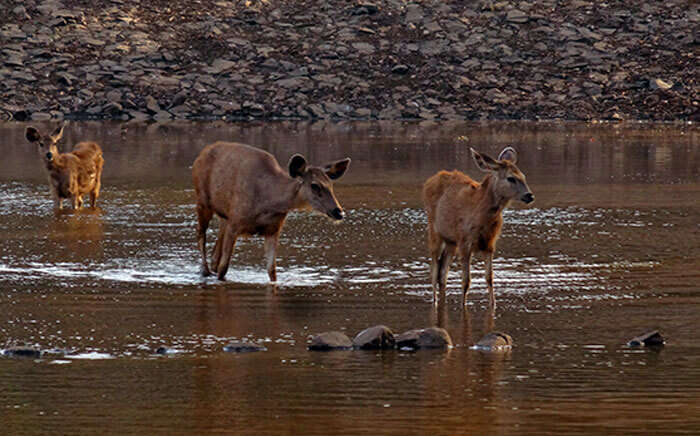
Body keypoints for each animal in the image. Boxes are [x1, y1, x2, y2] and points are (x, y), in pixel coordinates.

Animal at [191, 141, 350, 282]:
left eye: (331, 185)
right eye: (314, 185)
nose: (339, 212)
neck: (268, 203)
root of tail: (201, 153)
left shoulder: (273, 229)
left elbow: (272, 271)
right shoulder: (235, 223)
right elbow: (223, 269)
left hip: (224, 216)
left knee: (215, 251)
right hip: (203, 201)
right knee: (201, 233)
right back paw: (204, 270)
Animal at [422, 146, 536, 306]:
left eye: (523, 176)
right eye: (511, 178)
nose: (529, 195)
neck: (482, 217)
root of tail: (429, 181)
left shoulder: (489, 244)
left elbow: (489, 278)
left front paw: (493, 304)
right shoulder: (464, 241)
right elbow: (466, 281)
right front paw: (463, 305)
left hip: (451, 241)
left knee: (442, 273)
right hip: (434, 230)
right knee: (434, 271)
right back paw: (434, 301)